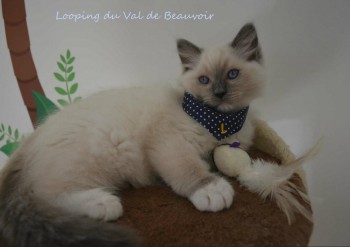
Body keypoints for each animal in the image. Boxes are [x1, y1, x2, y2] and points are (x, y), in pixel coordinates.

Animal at [0, 23, 306, 247]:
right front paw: (212, 189)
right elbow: (189, 169)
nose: (219, 94)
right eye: (204, 80)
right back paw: (103, 203)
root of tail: (26, 145)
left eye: (232, 75)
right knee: (47, 197)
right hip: (99, 154)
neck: (218, 122)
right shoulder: (169, 143)